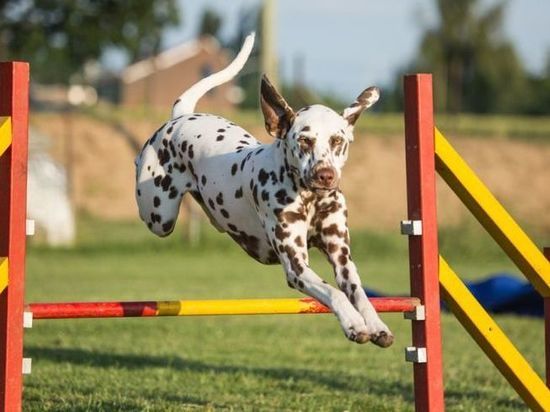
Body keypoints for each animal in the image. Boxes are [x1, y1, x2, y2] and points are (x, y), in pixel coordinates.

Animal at [136, 33, 394, 348]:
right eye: (305, 140)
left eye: (337, 140)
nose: (325, 175)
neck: (310, 199)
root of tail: (182, 117)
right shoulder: (296, 267)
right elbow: (334, 292)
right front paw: (353, 323)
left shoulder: (341, 257)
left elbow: (358, 292)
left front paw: (376, 324)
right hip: (159, 217)